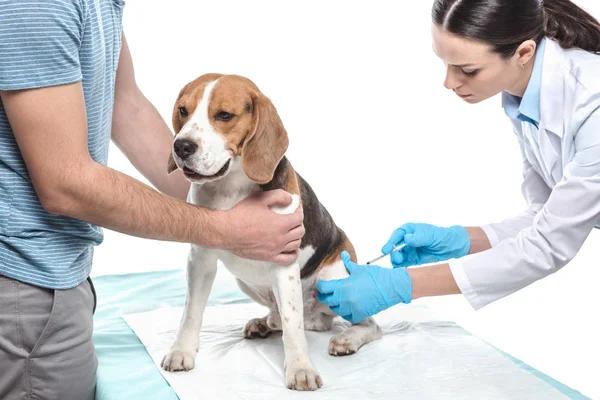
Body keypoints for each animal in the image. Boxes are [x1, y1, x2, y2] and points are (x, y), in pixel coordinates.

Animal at [162, 74, 382, 390]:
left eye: (224, 115)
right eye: (183, 110)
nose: (181, 146)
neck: (231, 187)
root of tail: (318, 317)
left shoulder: (284, 261)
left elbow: (293, 325)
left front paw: (300, 369)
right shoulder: (200, 260)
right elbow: (191, 312)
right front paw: (182, 351)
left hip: (336, 281)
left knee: (368, 325)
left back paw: (346, 339)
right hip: (246, 283)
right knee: (285, 318)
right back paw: (265, 323)